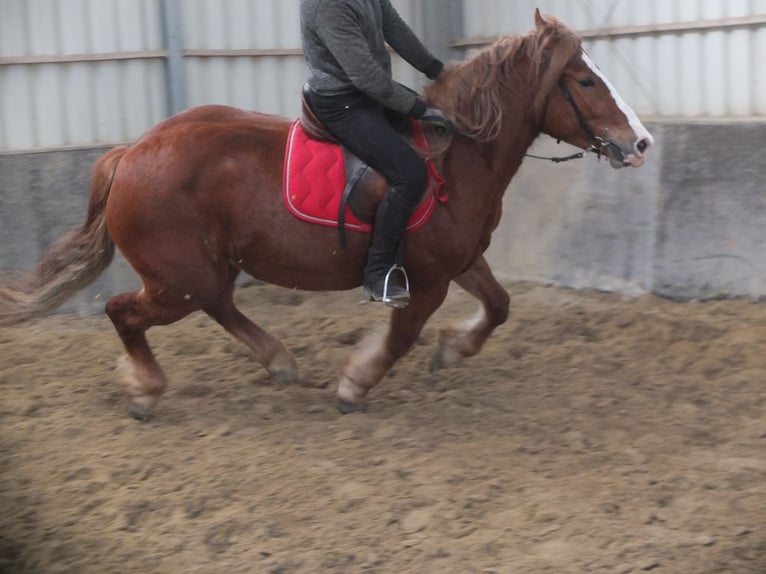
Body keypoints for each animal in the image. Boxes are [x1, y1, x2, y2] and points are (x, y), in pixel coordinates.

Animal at [0, 11, 656, 420]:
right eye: (584, 80)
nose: (642, 142)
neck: (460, 153)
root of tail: (131, 153)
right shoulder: (424, 280)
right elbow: (400, 336)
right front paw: (355, 383)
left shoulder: (461, 261)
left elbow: (498, 306)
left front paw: (451, 350)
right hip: (178, 279)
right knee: (124, 311)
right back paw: (146, 390)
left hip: (202, 271)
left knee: (217, 304)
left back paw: (278, 362)